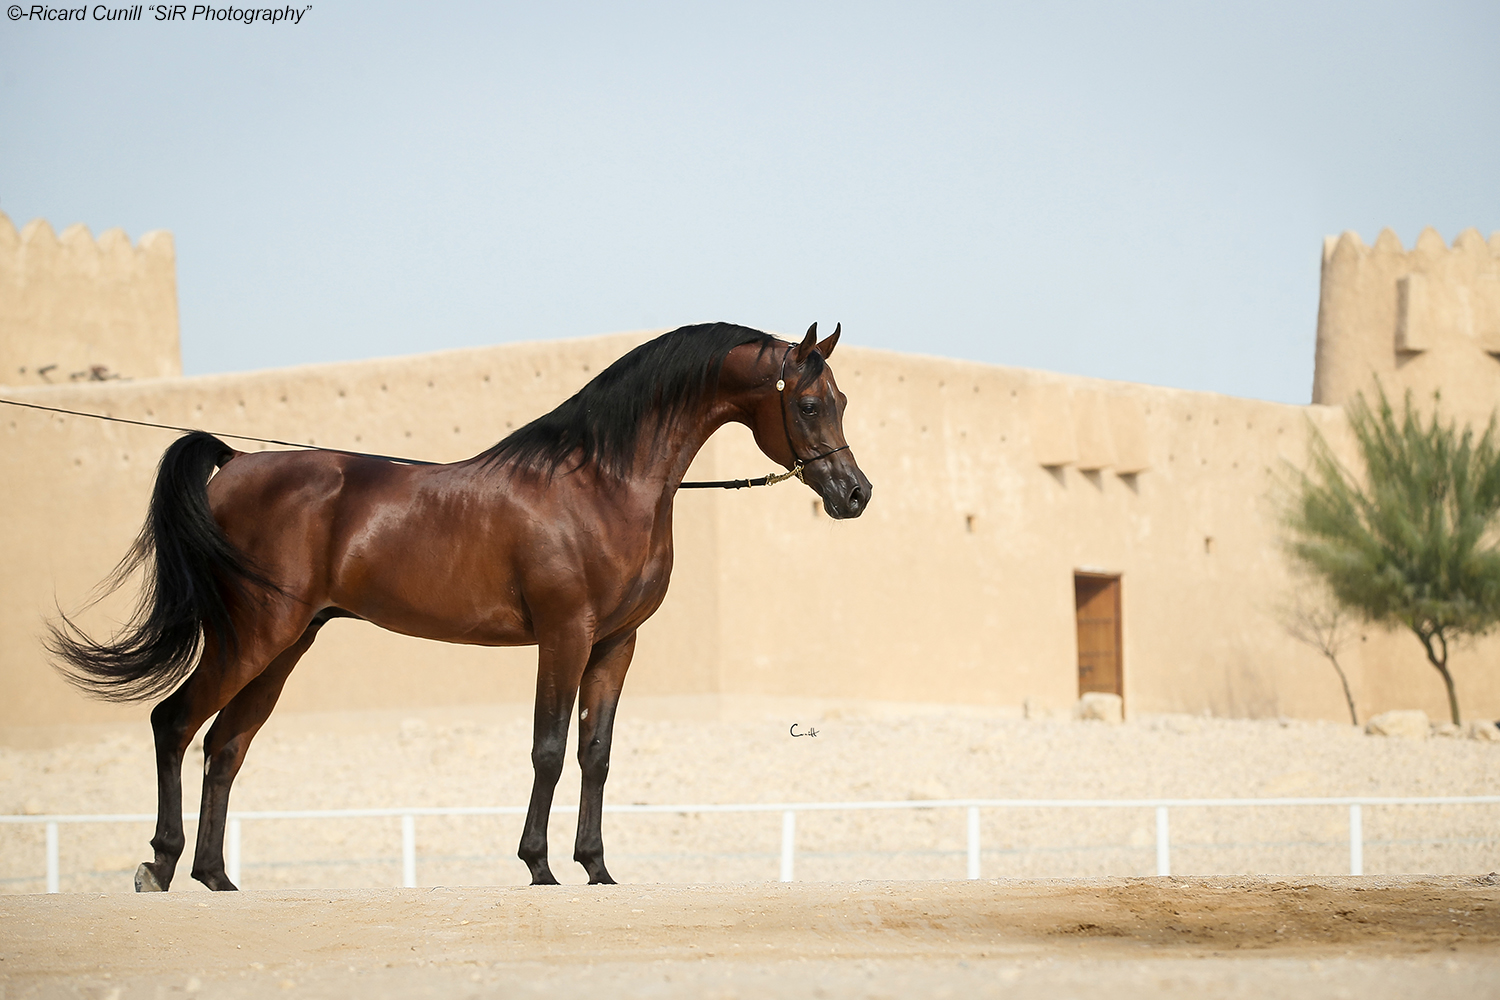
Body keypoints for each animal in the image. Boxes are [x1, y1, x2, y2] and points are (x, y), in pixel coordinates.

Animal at [50, 321, 872, 891]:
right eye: (807, 404)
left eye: (842, 401)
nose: (854, 494)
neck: (604, 484)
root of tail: (236, 465)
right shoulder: (564, 635)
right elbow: (548, 749)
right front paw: (540, 865)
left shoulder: (616, 644)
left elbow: (596, 754)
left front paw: (597, 867)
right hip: (252, 635)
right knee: (175, 724)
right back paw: (159, 866)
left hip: (287, 646)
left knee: (225, 747)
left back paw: (217, 878)